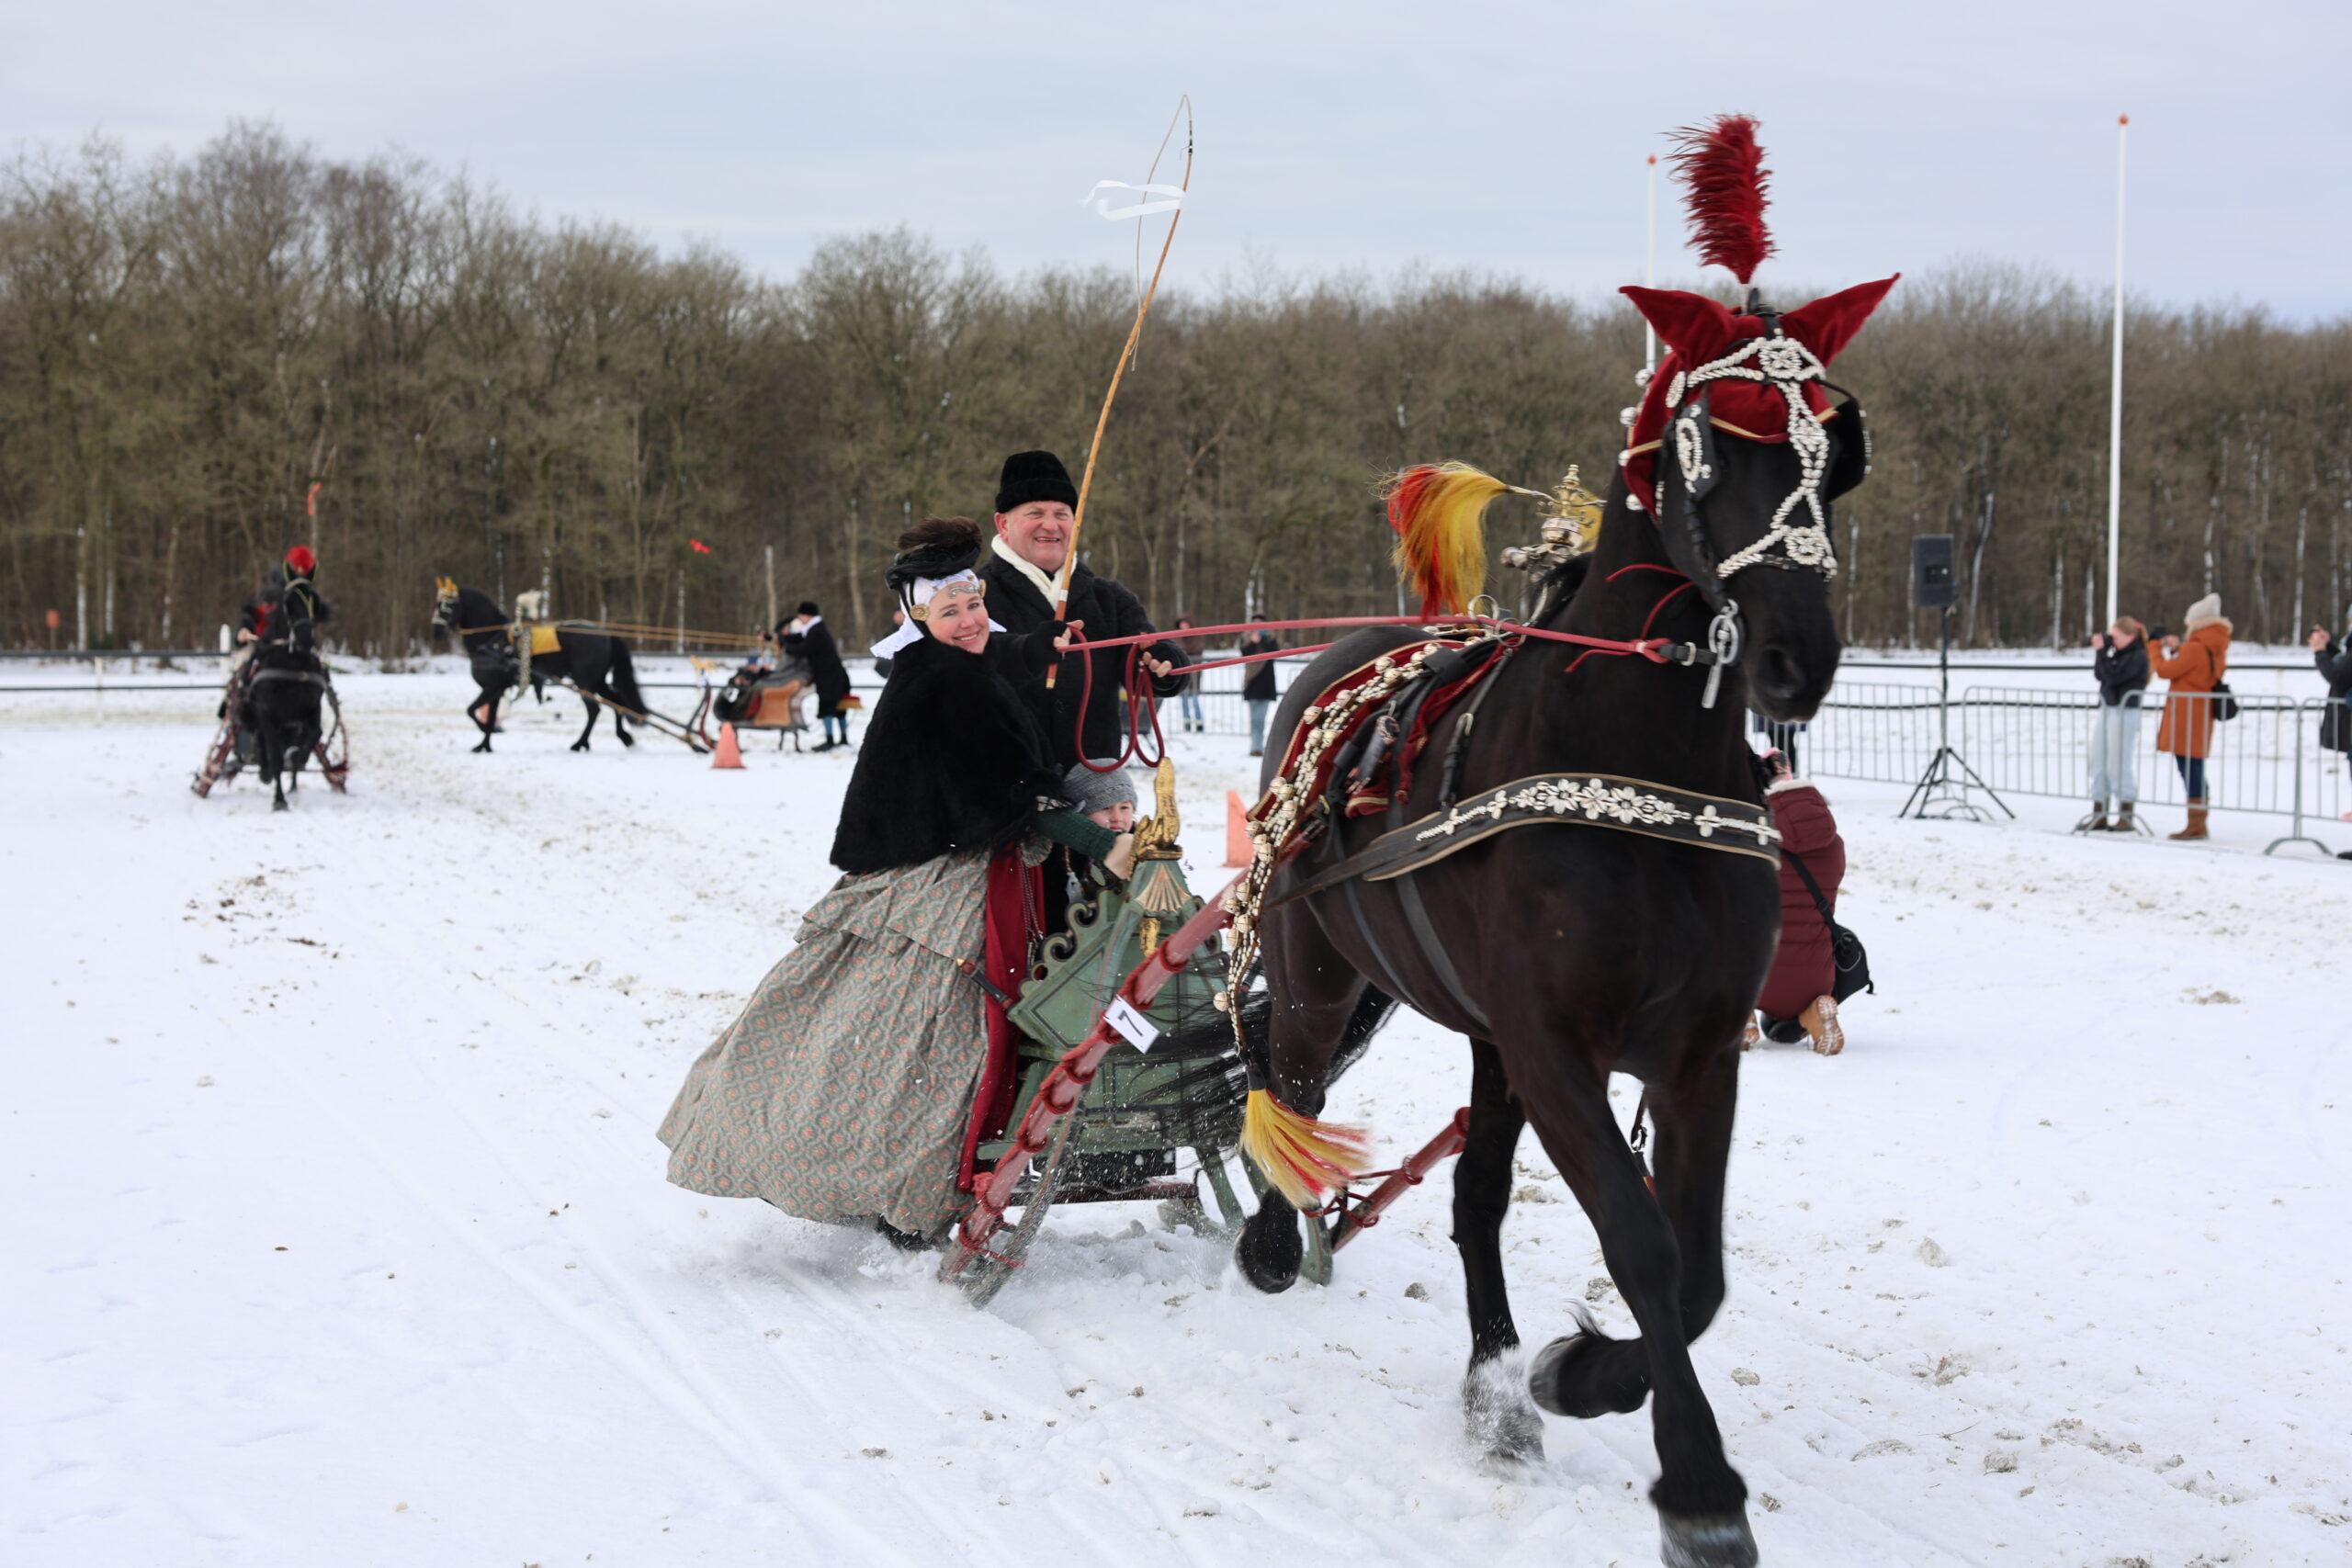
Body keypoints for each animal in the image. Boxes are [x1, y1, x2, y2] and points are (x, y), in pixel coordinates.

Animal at [430, 582, 647, 754]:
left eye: (448, 604)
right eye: (437, 604)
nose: (436, 631)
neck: (492, 641)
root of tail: (606, 634)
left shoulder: (490, 688)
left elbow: (471, 711)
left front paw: (487, 735)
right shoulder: (496, 690)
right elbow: (488, 716)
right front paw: (485, 744)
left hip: (584, 681)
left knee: (595, 709)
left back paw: (580, 743)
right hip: (596, 681)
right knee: (616, 702)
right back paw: (624, 737)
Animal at [1230, 278, 1894, 1568]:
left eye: (1830, 458)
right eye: (1701, 449)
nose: (1795, 657)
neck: (1631, 758)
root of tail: (1346, 657)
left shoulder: (1693, 1051)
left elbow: (1693, 1274)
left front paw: (1574, 1375)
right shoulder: (1557, 1049)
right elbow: (1641, 1244)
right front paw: (1697, 1486)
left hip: (1487, 1039)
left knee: (1474, 1195)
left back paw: (1494, 1386)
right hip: (1323, 974)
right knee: (1289, 1082)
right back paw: (1278, 1237)